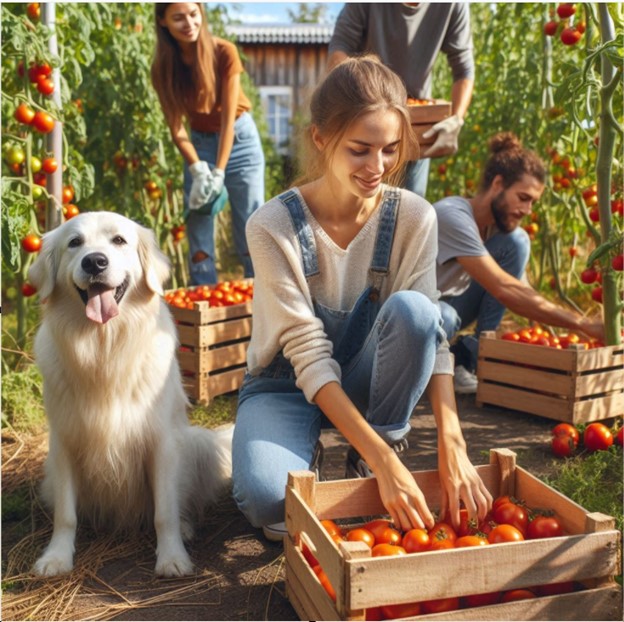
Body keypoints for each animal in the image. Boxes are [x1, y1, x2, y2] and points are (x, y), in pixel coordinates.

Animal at [29, 212, 234, 576]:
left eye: (119, 241)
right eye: (74, 243)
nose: (95, 262)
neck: (103, 347)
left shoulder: (161, 442)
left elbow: (164, 511)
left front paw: (172, 557)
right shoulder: (64, 442)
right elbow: (65, 514)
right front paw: (56, 557)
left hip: (198, 444)